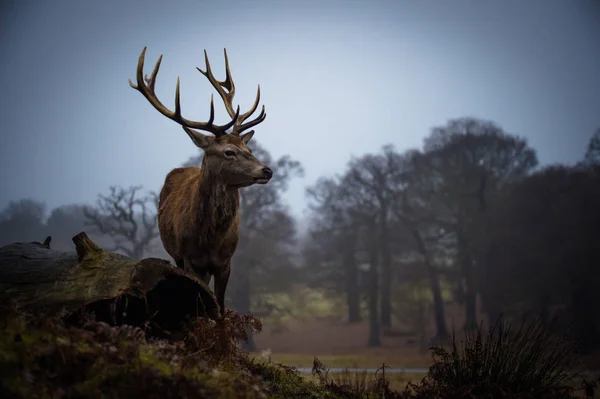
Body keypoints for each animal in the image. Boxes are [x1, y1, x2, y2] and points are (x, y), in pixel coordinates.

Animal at [131, 47, 274, 318]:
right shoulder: (188, 258)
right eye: (228, 152)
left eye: (248, 148)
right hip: (176, 256)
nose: (267, 170)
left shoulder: (225, 261)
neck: (208, 240)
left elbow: (220, 307)